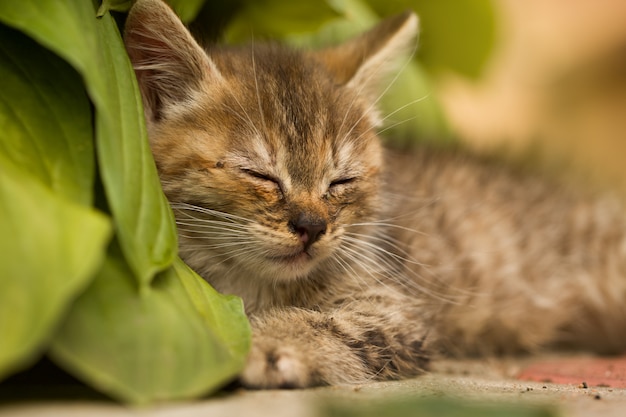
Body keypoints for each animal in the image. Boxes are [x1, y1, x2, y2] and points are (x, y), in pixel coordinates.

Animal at [124, 0, 624, 386]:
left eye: (340, 182)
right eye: (260, 175)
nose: (311, 227)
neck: (255, 284)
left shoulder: (395, 305)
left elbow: (332, 324)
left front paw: (267, 341)